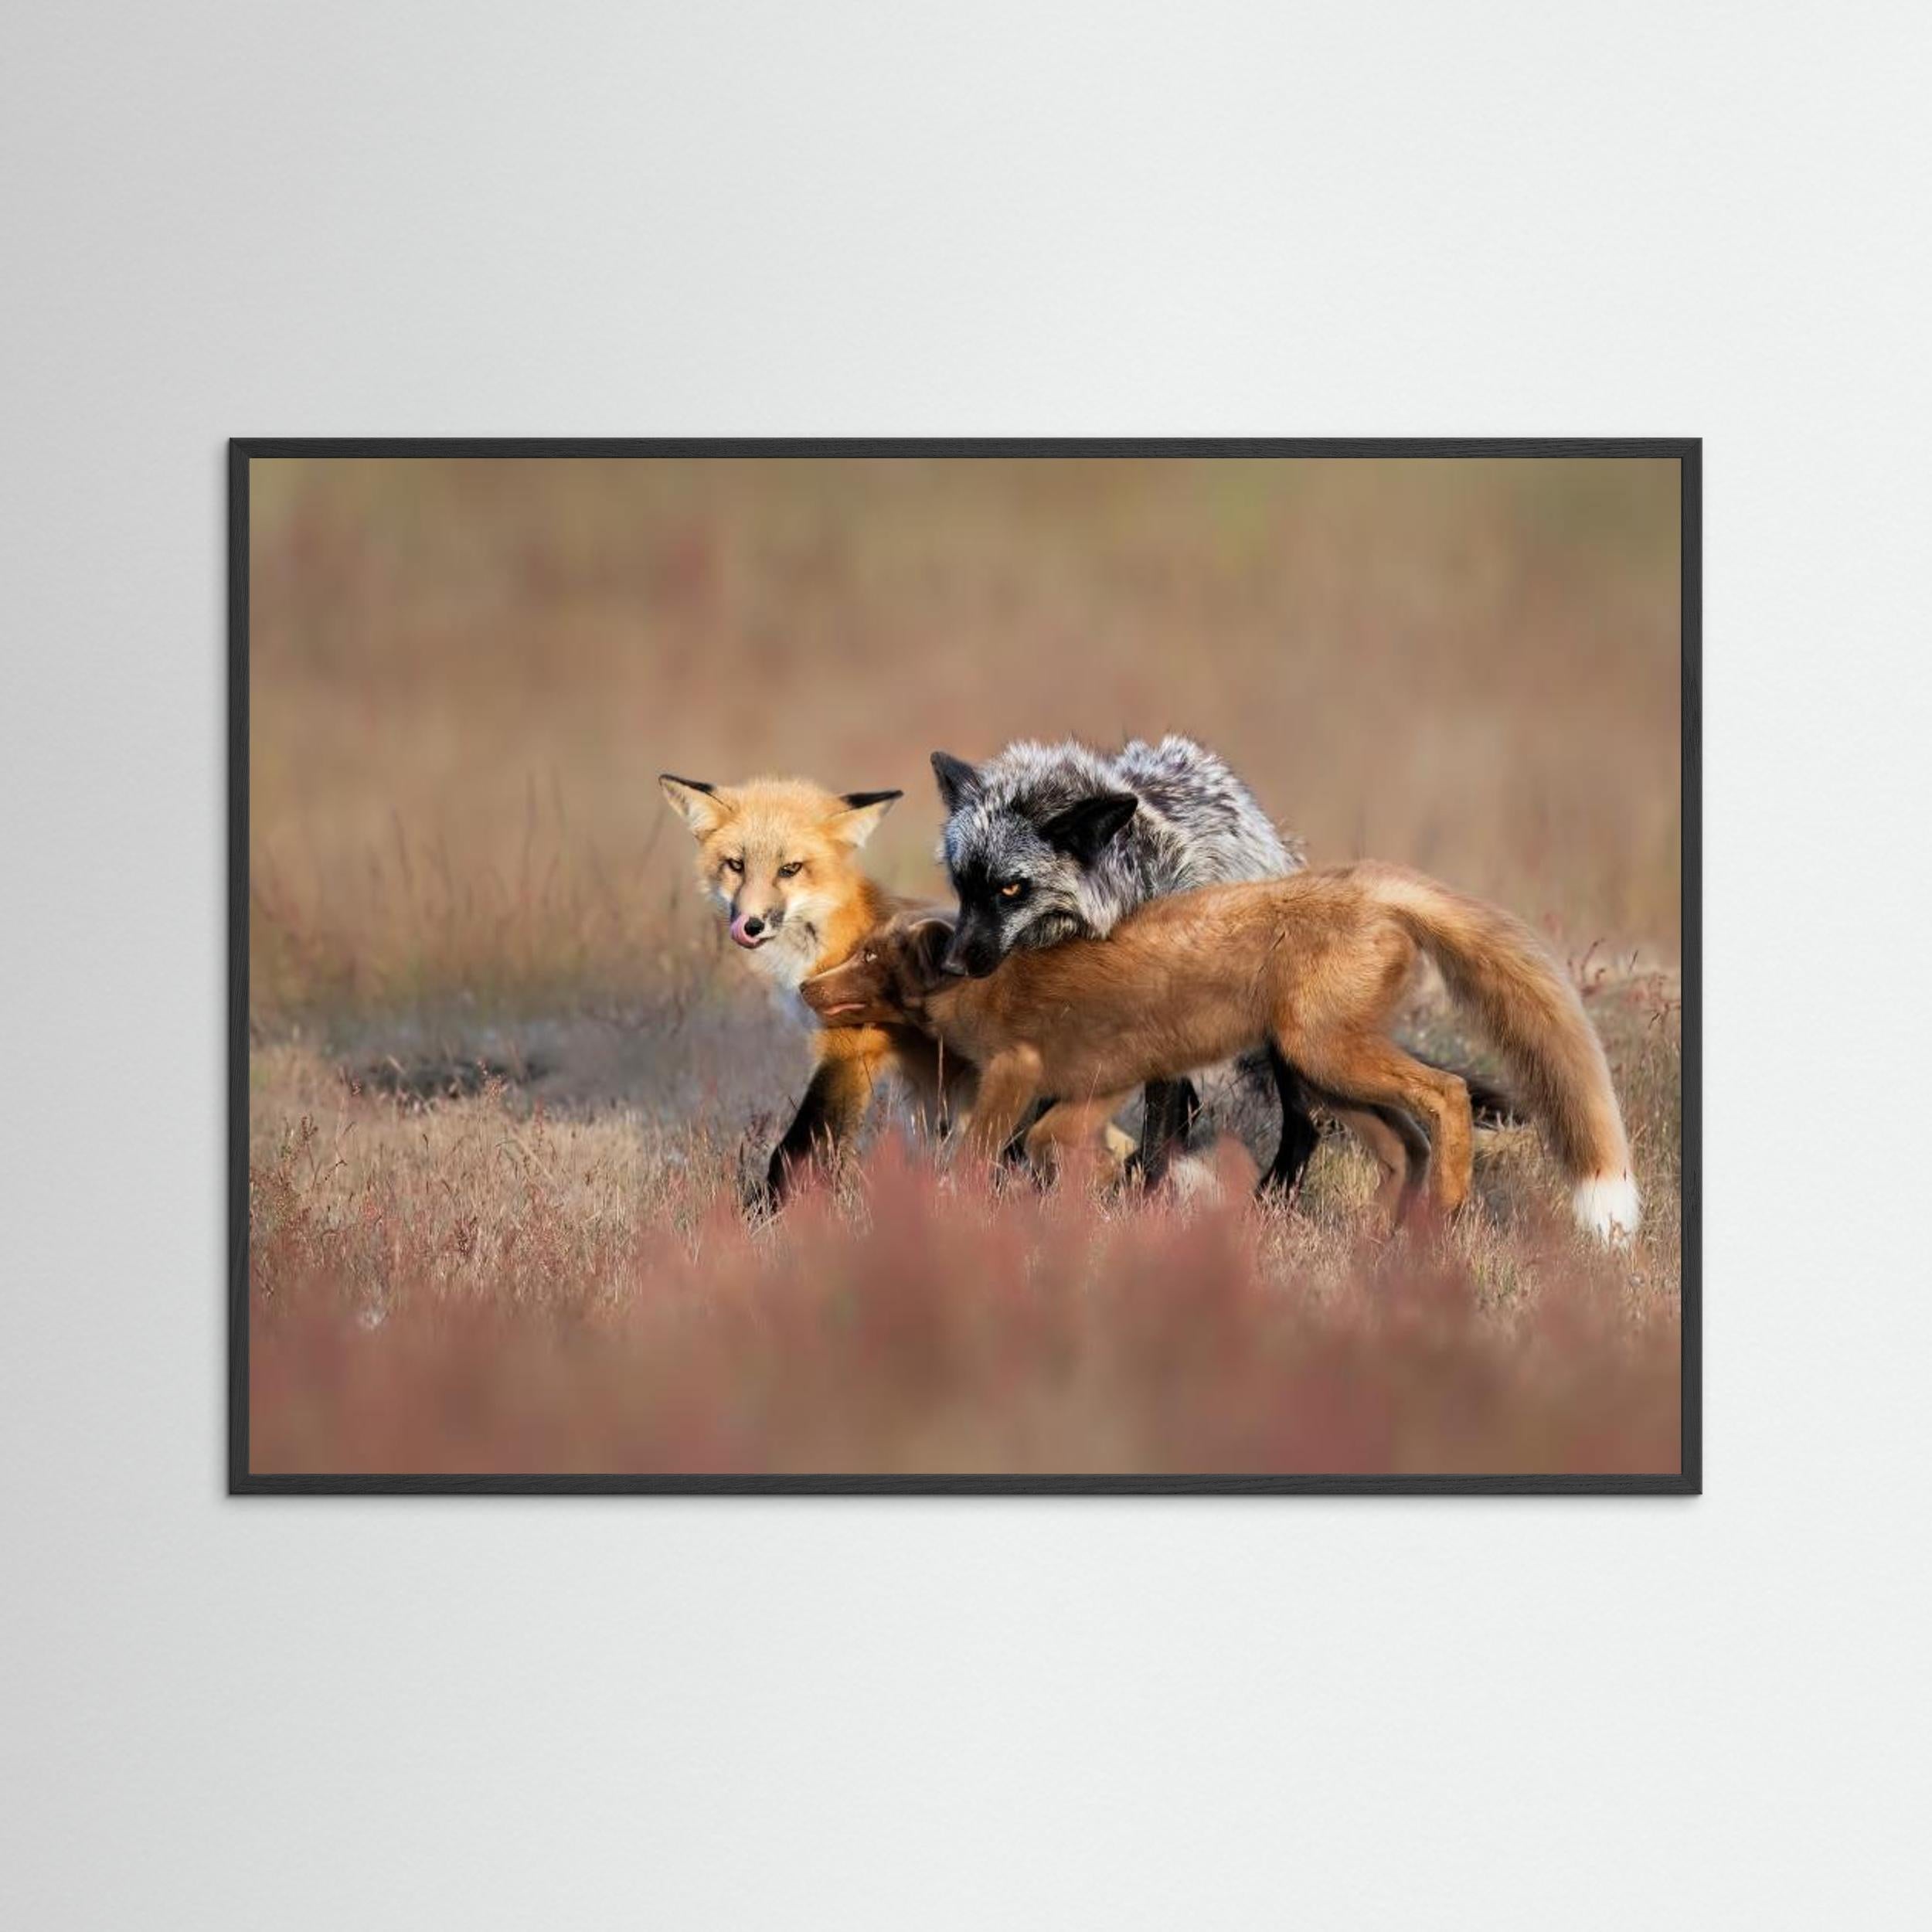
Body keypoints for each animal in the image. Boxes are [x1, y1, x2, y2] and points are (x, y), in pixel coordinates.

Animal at [800, 862, 1641, 1244]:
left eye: (870, 959)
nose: (807, 987)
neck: (980, 985)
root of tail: (1371, 883)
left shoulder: (1022, 1070)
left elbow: (983, 1151)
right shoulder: (1099, 1083)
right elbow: (1056, 1144)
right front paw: (1100, 1194)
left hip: (1328, 1056)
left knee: (1447, 1095)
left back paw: (1446, 1207)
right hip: (1323, 1075)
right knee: (1404, 1142)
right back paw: (1381, 1236)